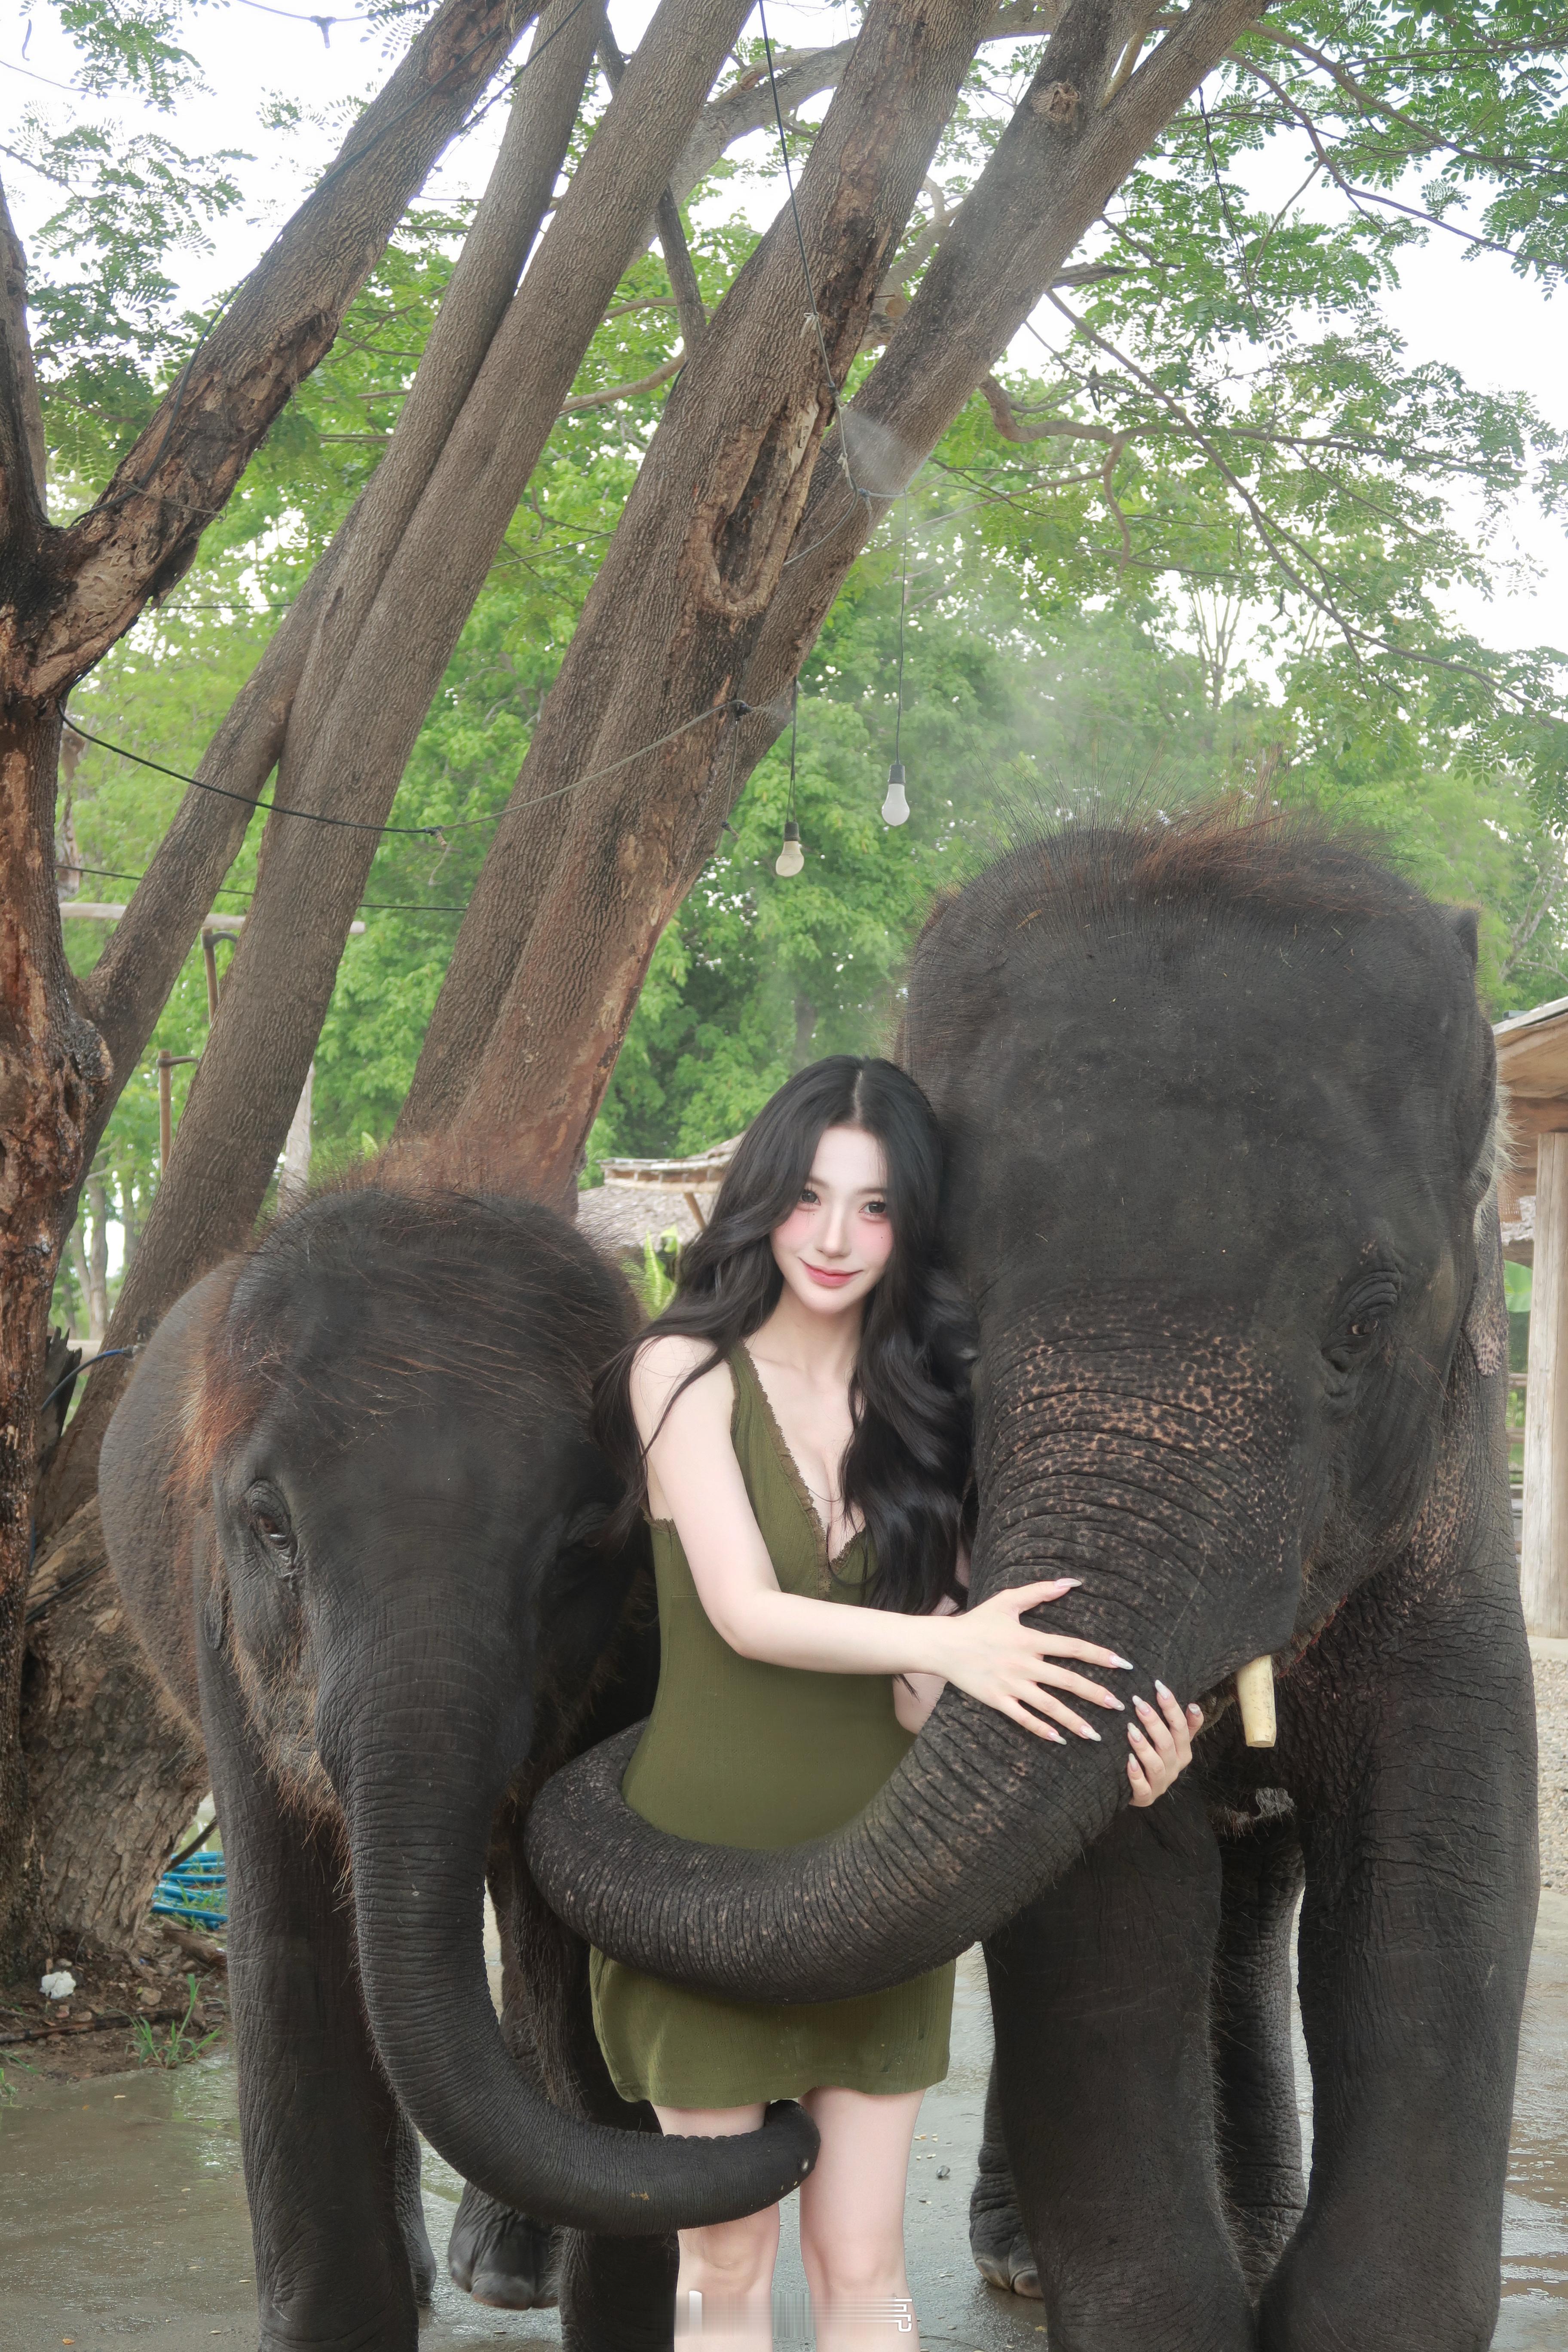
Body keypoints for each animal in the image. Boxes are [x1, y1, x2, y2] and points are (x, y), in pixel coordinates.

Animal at [100, 1180, 816, 2352]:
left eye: (585, 1540)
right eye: (269, 1524)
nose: (796, 2112)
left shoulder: (641, 1633)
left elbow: (595, 1951)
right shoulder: (227, 1647)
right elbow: (295, 1954)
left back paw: (508, 2271)